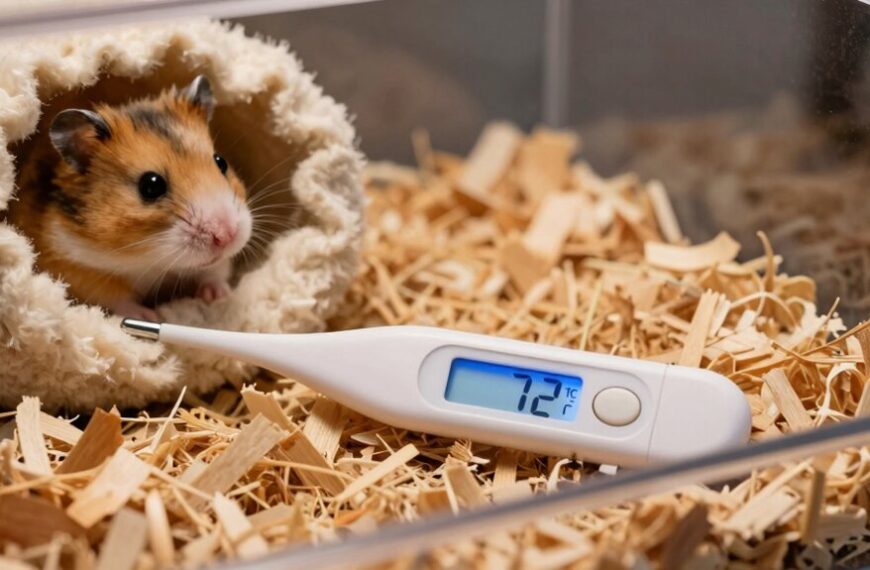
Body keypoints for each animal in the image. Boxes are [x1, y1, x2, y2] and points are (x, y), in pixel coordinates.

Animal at [9, 75, 252, 321]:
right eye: (151, 186)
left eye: (221, 162)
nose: (227, 235)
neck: (149, 260)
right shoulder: (76, 267)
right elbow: (118, 300)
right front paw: (150, 317)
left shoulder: (213, 265)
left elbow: (215, 272)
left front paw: (221, 296)